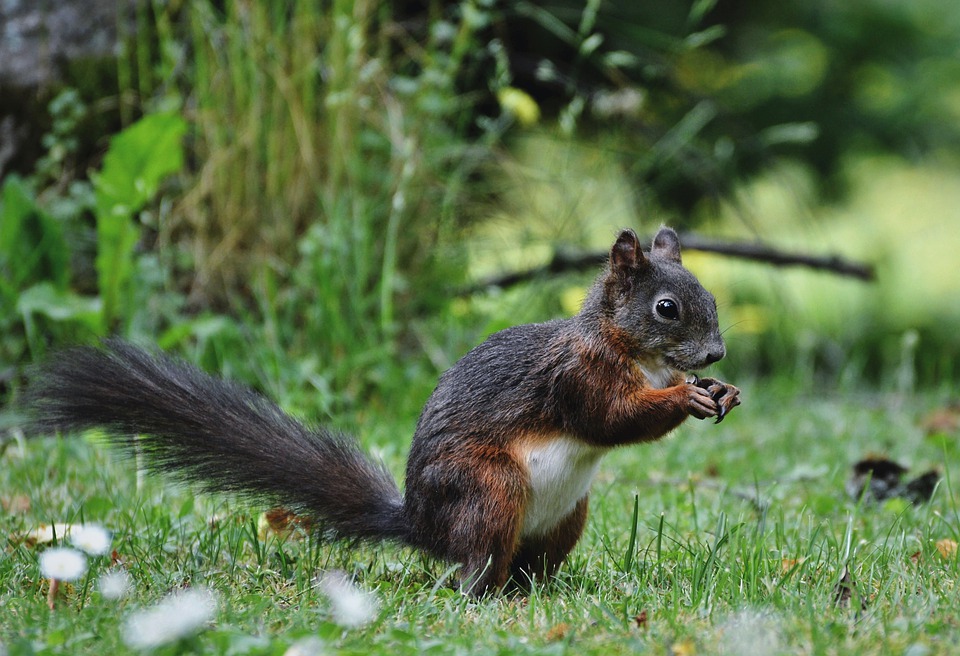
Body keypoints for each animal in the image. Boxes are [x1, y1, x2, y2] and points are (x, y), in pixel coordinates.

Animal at [24, 228, 744, 596]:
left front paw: (722, 391)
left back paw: (540, 592)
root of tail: (423, 526)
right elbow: (608, 419)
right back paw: (484, 593)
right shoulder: (576, 376)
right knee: (473, 565)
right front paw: (684, 397)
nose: (714, 352)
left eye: (710, 298)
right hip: (487, 487)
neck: (635, 354)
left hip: (568, 516)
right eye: (666, 309)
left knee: (526, 566)